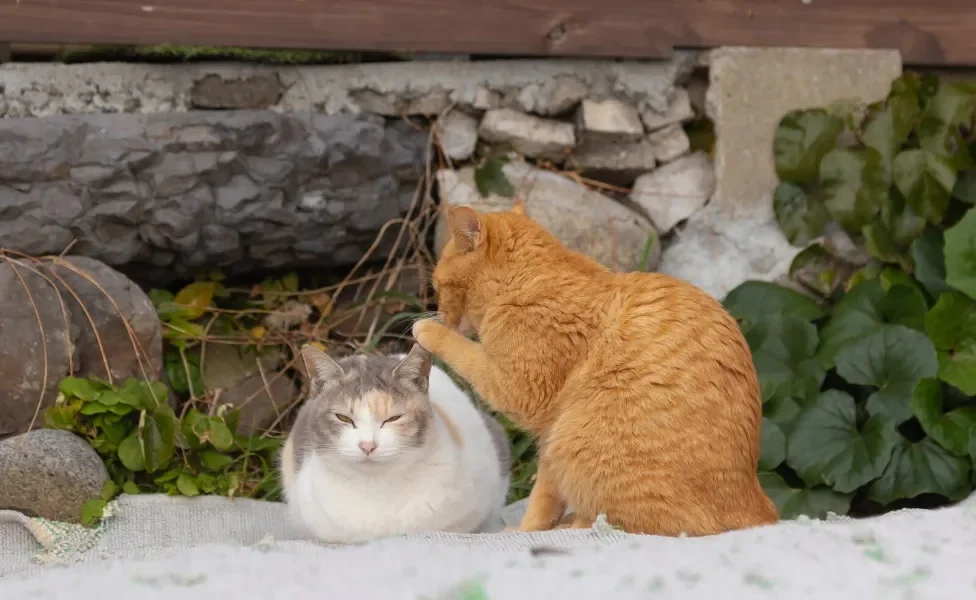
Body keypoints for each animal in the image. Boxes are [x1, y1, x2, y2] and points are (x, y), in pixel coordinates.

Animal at [412, 204, 776, 536]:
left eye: (438, 287)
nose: (438, 311)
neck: (528, 280)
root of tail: (757, 506)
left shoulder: (523, 393)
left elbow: (465, 352)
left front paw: (428, 330)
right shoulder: (548, 432)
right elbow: (546, 495)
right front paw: (534, 527)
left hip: (575, 438)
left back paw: (574, 524)